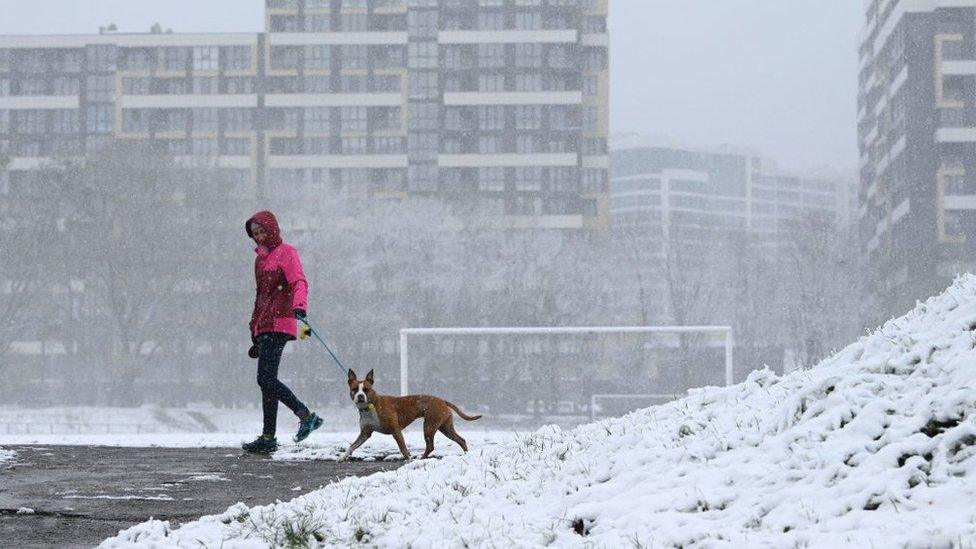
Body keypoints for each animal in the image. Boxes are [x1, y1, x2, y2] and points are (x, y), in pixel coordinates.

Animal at [340, 366, 484, 460]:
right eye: (354, 389)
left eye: (366, 389)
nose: (360, 396)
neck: (371, 406)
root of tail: (442, 400)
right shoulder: (365, 434)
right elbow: (352, 446)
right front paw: (343, 457)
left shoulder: (396, 431)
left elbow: (403, 449)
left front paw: (407, 461)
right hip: (445, 428)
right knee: (460, 440)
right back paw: (467, 455)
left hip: (429, 426)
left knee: (430, 446)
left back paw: (421, 458)